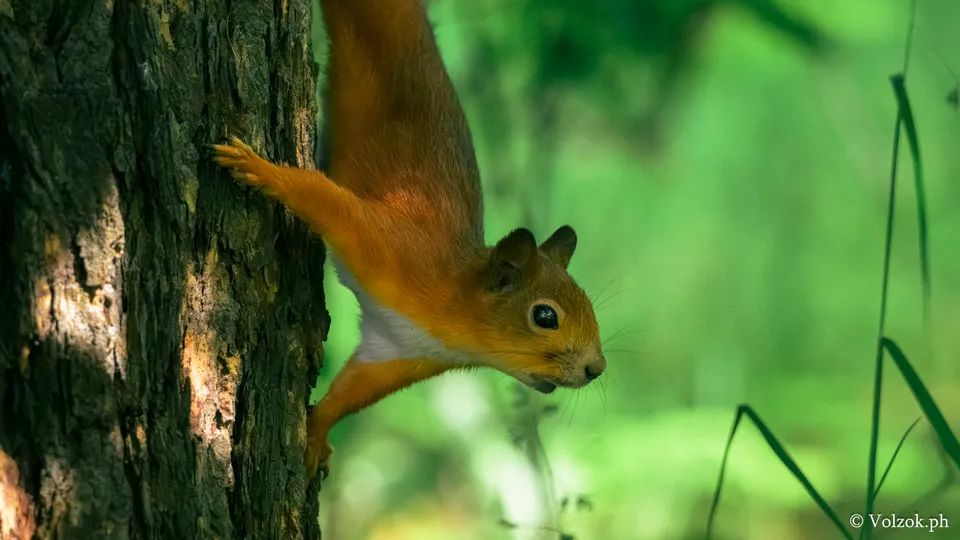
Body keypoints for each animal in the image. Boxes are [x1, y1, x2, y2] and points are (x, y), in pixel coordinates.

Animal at [213, 0, 606, 482]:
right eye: (545, 316)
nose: (596, 369)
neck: (451, 317)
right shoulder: (389, 239)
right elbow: (322, 198)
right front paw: (261, 169)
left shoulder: (399, 350)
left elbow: (354, 389)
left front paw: (317, 434)